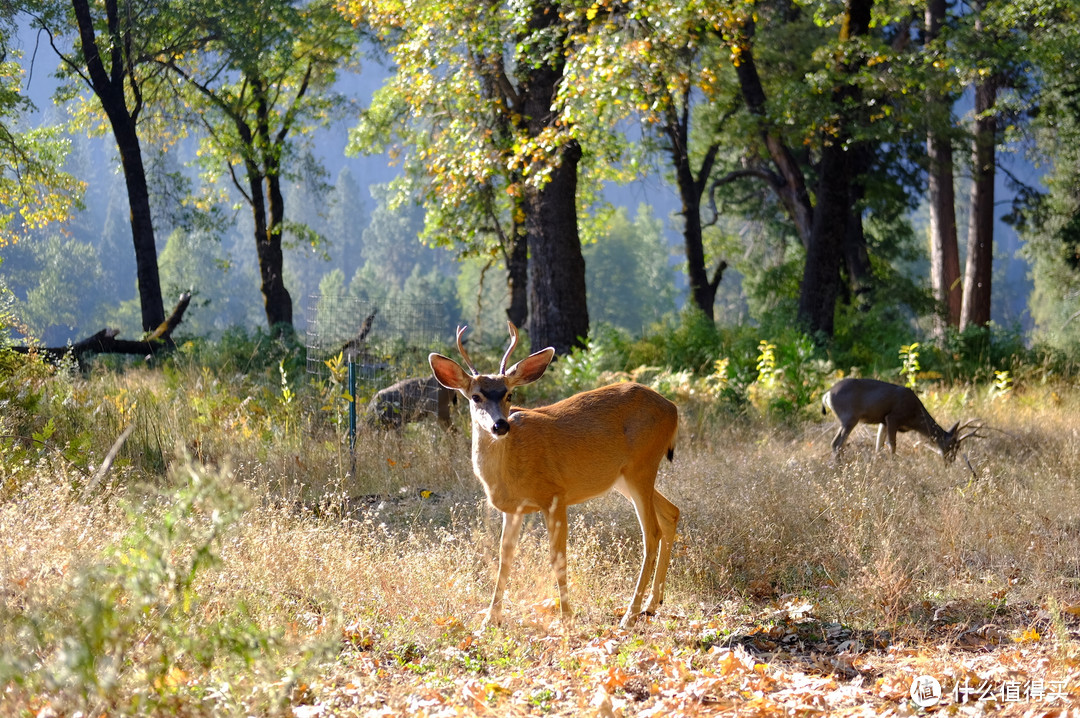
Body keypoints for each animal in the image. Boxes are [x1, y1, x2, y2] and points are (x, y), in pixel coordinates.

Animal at [427, 321, 673, 626]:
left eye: (510, 395)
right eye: (475, 396)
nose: (500, 425)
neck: (509, 471)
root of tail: (673, 409)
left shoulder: (554, 496)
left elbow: (557, 557)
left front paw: (567, 617)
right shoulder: (514, 509)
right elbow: (504, 557)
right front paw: (490, 619)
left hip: (642, 466)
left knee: (651, 532)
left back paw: (629, 614)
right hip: (625, 477)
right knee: (671, 514)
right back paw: (652, 604)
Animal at [820, 377, 984, 462]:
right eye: (953, 445)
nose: (950, 461)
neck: (914, 416)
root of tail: (826, 395)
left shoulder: (883, 421)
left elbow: (878, 446)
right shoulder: (893, 417)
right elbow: (892, 446)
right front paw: (894, 466)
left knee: (838, 444)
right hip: (849, 417)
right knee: (836, 443)